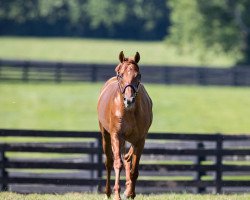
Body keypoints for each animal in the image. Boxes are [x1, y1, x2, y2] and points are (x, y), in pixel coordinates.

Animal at [97, 52, 152, 200]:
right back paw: (108, 192)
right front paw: (117, 194)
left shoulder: (140, 140)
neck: (129, 111)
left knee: (127, 157)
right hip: (106, 135)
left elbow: (134, 169)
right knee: (109, 162)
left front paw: (131, 193)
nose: (129, 100)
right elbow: (117, 163)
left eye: (138, 75)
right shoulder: (116, 136)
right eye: (120, 74)